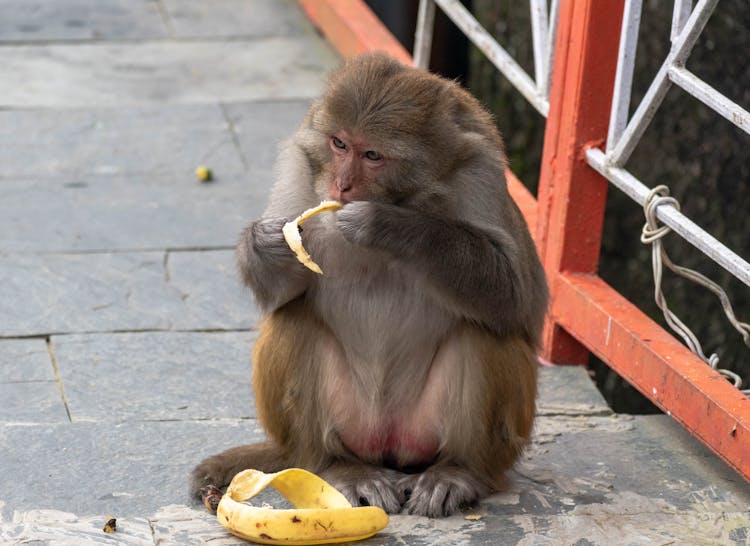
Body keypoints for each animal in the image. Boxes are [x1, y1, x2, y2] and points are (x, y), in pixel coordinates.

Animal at [191, 52, 548, 516]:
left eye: (373, 154)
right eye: (339, 144)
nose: (341, 184)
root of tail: (386, 446)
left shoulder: (480, 172)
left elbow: (513, 293)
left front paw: (386, 224)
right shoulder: (299, 166)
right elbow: (279, 294)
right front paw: (268, 243)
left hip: (443, 435)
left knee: (484, 333)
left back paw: (459, 471)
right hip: (346, 429)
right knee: (293, 320)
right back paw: (338, 466)